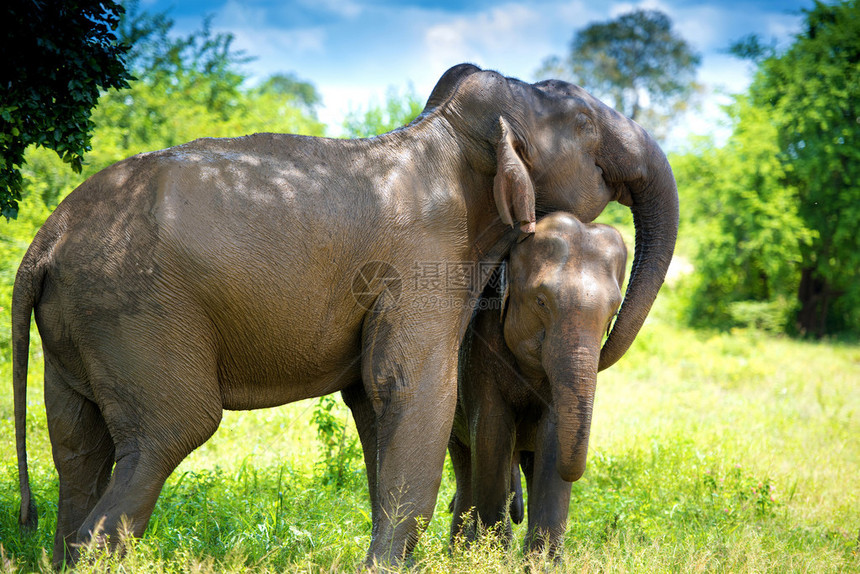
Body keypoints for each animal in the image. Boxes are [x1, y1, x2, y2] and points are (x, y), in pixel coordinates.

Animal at [450, 212, 624, 560]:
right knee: (465, 465)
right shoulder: (479, 353)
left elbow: (554, 437)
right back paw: (460, 553)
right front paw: (495, 558)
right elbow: (491, 433)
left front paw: (542, 562)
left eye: (613, 312)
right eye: (541, 301)